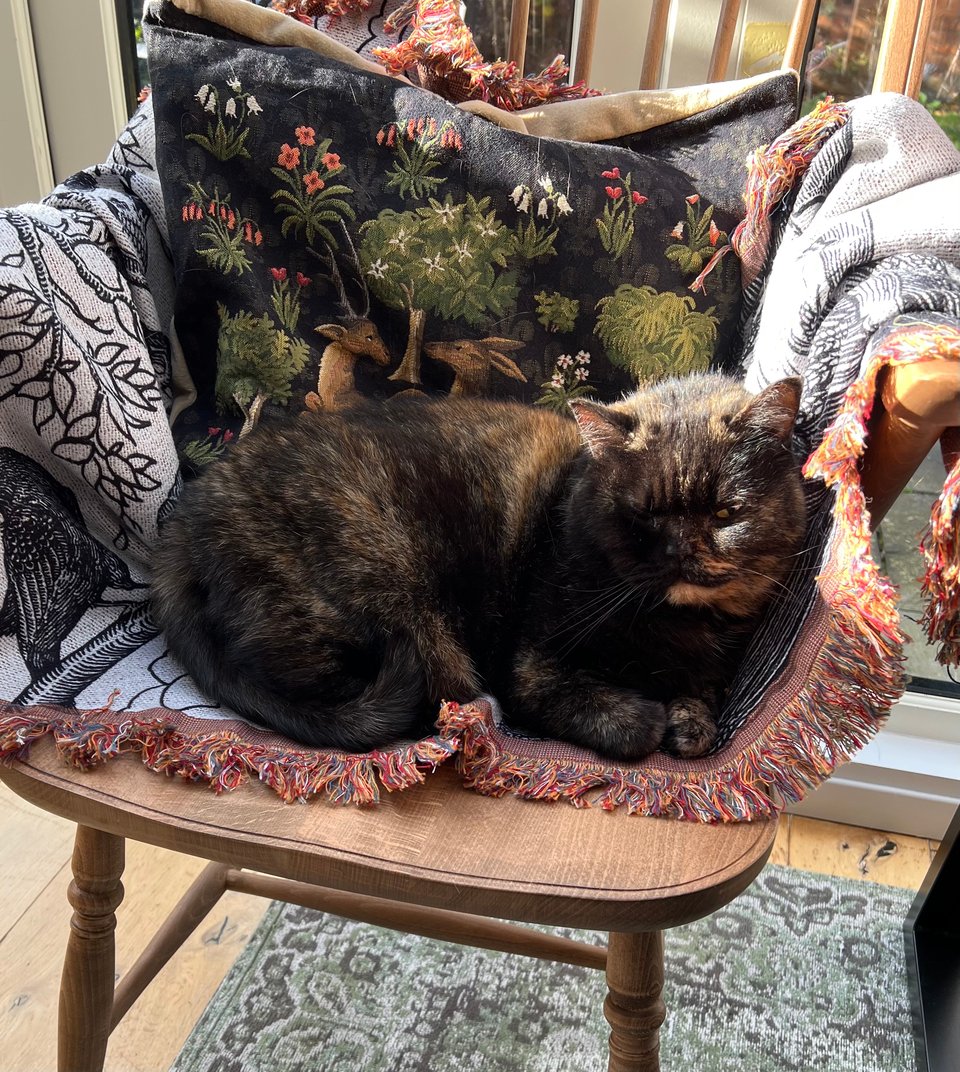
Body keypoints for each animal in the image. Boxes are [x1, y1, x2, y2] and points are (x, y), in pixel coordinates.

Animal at [150, 373, 805, 758]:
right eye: (643, 516)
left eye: (726, 511)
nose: (680, 554)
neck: (680, 628)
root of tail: (184, 521)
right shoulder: (529, 666)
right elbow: (612, 715)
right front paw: (649, 716)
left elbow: (704, 700)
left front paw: (692, 718)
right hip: (393, 603)